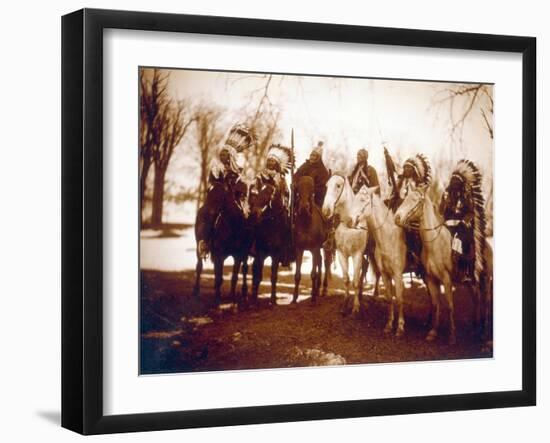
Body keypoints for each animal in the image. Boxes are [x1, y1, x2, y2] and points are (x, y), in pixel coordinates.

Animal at [294, 175, 328, 304]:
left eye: (311, 191)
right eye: (298, 190)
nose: (304, 207)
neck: (306, 223)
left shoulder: (314, 248)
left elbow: (313, 274)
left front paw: (313, 298)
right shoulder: (299, 249)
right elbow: (297, 274)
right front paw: (294, 298)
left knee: (326, 263)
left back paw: (323, 289)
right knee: (320, 261)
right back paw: (317, 289)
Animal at [324, 173, 370, 316]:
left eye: (338, 185)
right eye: (326, 186)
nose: (326, 210)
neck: (350, 224)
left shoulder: (357, 254)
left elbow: (354, 281)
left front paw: (356, 307)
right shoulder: (341, 254)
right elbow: (346, 279)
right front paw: (345, 305)